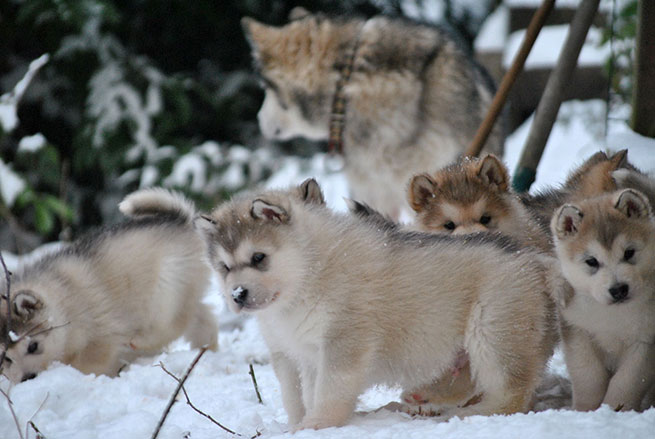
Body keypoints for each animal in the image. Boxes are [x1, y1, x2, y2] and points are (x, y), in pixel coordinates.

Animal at [0, 189, 220, 384]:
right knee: (203, 319)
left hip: (166, 289)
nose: (28, 378)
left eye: (33, 346)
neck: (61, 304)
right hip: (185, 292)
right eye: (6, 358)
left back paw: (142, 341)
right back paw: (205, 350)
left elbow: (88, 363)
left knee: (175, 324)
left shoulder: (102, 335)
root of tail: (181, 220)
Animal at [552, 190, 655, 412]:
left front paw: (616, 409)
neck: (612, 316)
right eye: (591, 261)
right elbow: (589, 376)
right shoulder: (577, 330)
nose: (618, 289)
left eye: (629, 252)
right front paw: (586, 410)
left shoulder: (645, 342)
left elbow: (626, 381)